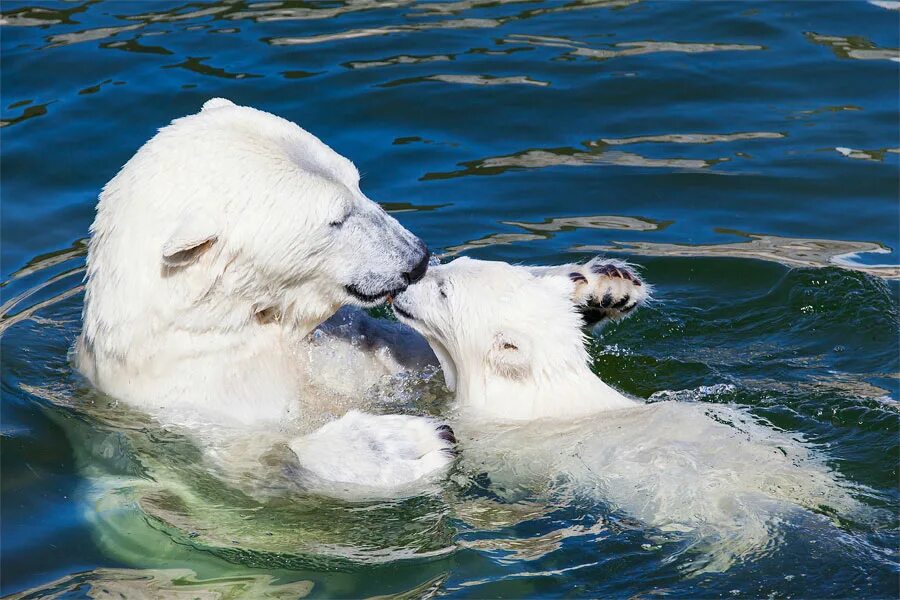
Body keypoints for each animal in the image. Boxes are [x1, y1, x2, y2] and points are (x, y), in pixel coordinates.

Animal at [76, 97, 454, 488]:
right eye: (336, 219)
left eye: (357, 184)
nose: (417, 257)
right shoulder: (201, 412)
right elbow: (266, 463)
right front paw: (405, 446)